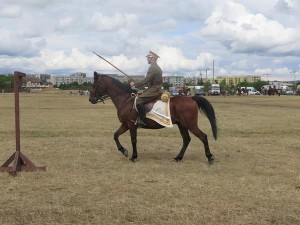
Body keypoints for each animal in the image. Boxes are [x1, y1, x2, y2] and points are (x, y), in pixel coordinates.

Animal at [89, 72, 218, 163]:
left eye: (95, 84)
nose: (91, 99)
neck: (125, 100)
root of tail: (191, 98)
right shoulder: (125, 124)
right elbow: (115, 135)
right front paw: (123, 150)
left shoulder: (131, 125)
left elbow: (133, 140)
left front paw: (133, 156)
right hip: (182, 125)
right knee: (186, 140)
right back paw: (178, 157)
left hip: (190, 124)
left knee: (203, 136)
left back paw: (209, 157)